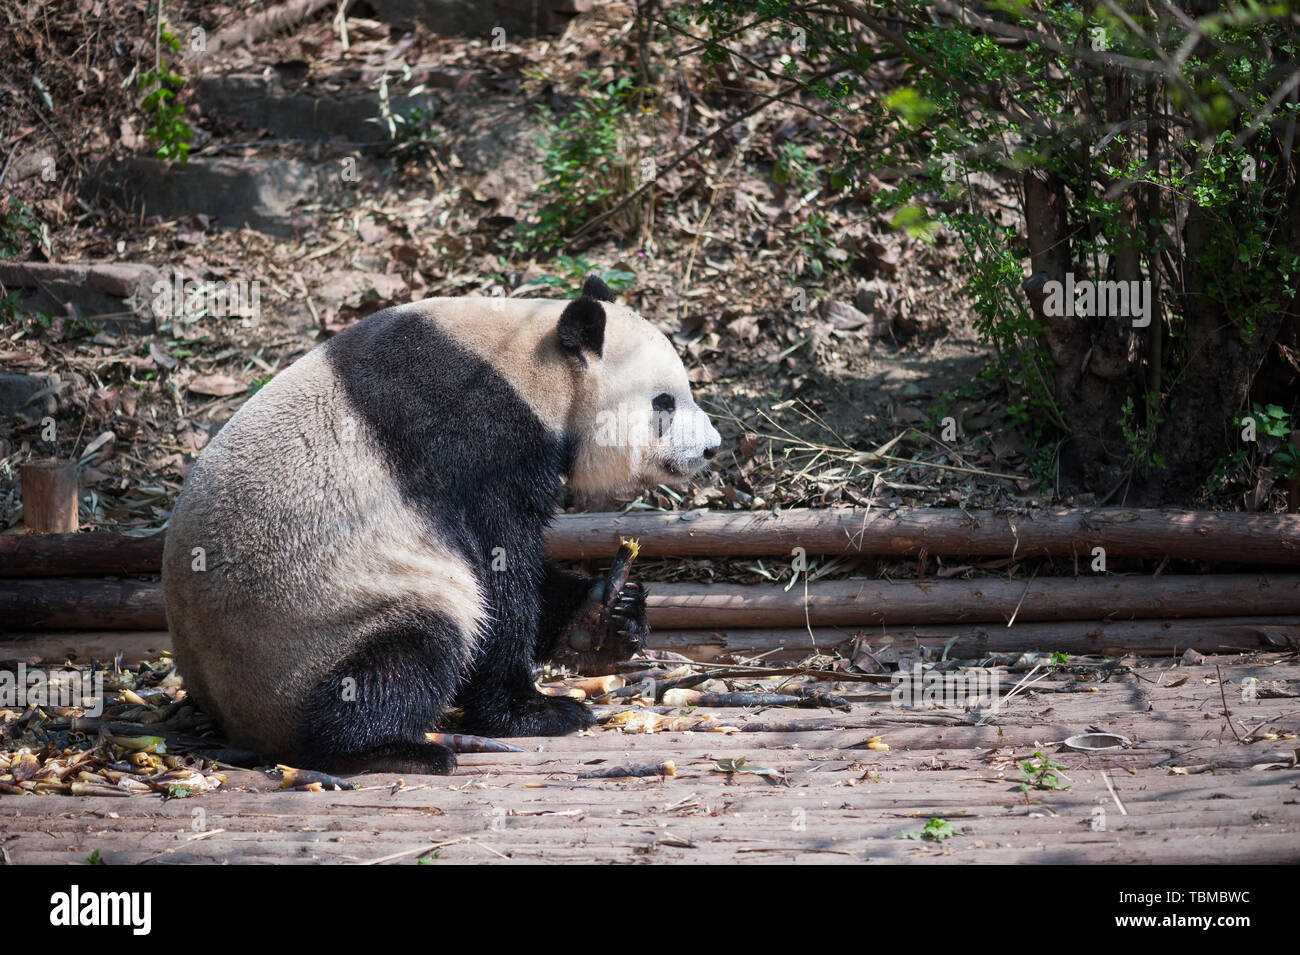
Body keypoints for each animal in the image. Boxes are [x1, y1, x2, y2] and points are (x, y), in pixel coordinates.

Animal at [162, 274, 722, 779]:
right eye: (664, 403)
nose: (711, 448)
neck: (533, 368)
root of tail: (236, 720)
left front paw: (608, 614)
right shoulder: (473, 438)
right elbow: (497, 564)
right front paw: (536, 711)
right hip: (318, 626)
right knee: (409, 650)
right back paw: (386, 749)